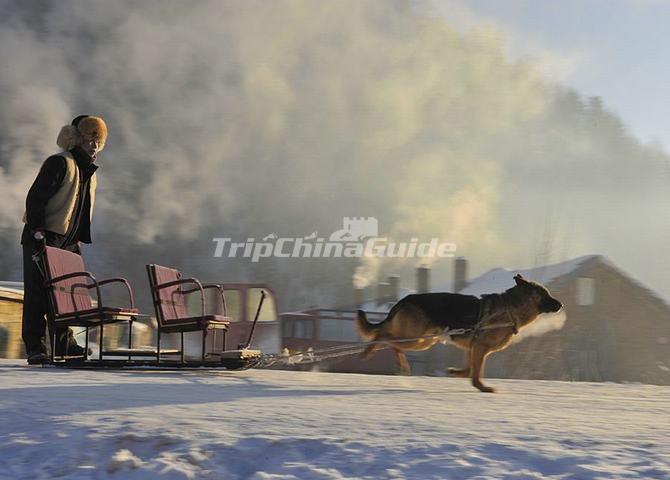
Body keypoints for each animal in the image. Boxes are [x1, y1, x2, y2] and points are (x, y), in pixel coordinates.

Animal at [360, 276, 564, 392]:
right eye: (545, 294)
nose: (561, 305)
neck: (510, 309)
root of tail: (403, 300)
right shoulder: (480, 347)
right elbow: (476, 372)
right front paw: (482, 388)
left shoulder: (473, 348)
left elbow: (469, 370)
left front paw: (454, 372)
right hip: (417, 339)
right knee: (384, 338)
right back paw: (369, 352)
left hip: (422, 340)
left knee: (390, 340)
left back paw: (400, 364)